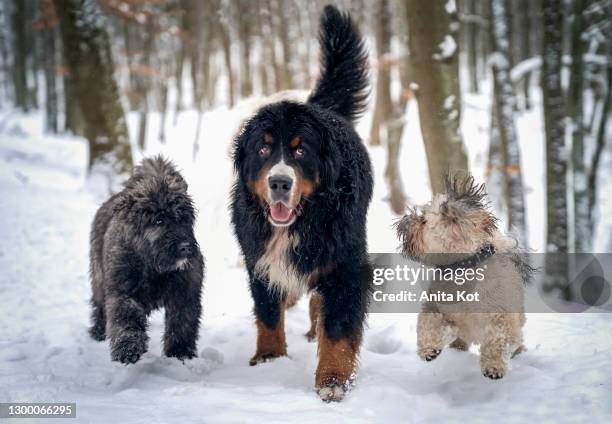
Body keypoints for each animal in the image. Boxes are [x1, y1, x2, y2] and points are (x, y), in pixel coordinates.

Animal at [231, 4, 370, 400]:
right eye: (263, 148)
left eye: (300, 151)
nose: (279, 182)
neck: (305, 219)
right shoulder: (259, 259)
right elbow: (267, 313)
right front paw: (269, 359)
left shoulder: (345, 265)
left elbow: (338, 329)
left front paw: (333, 380)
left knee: (318, 301)